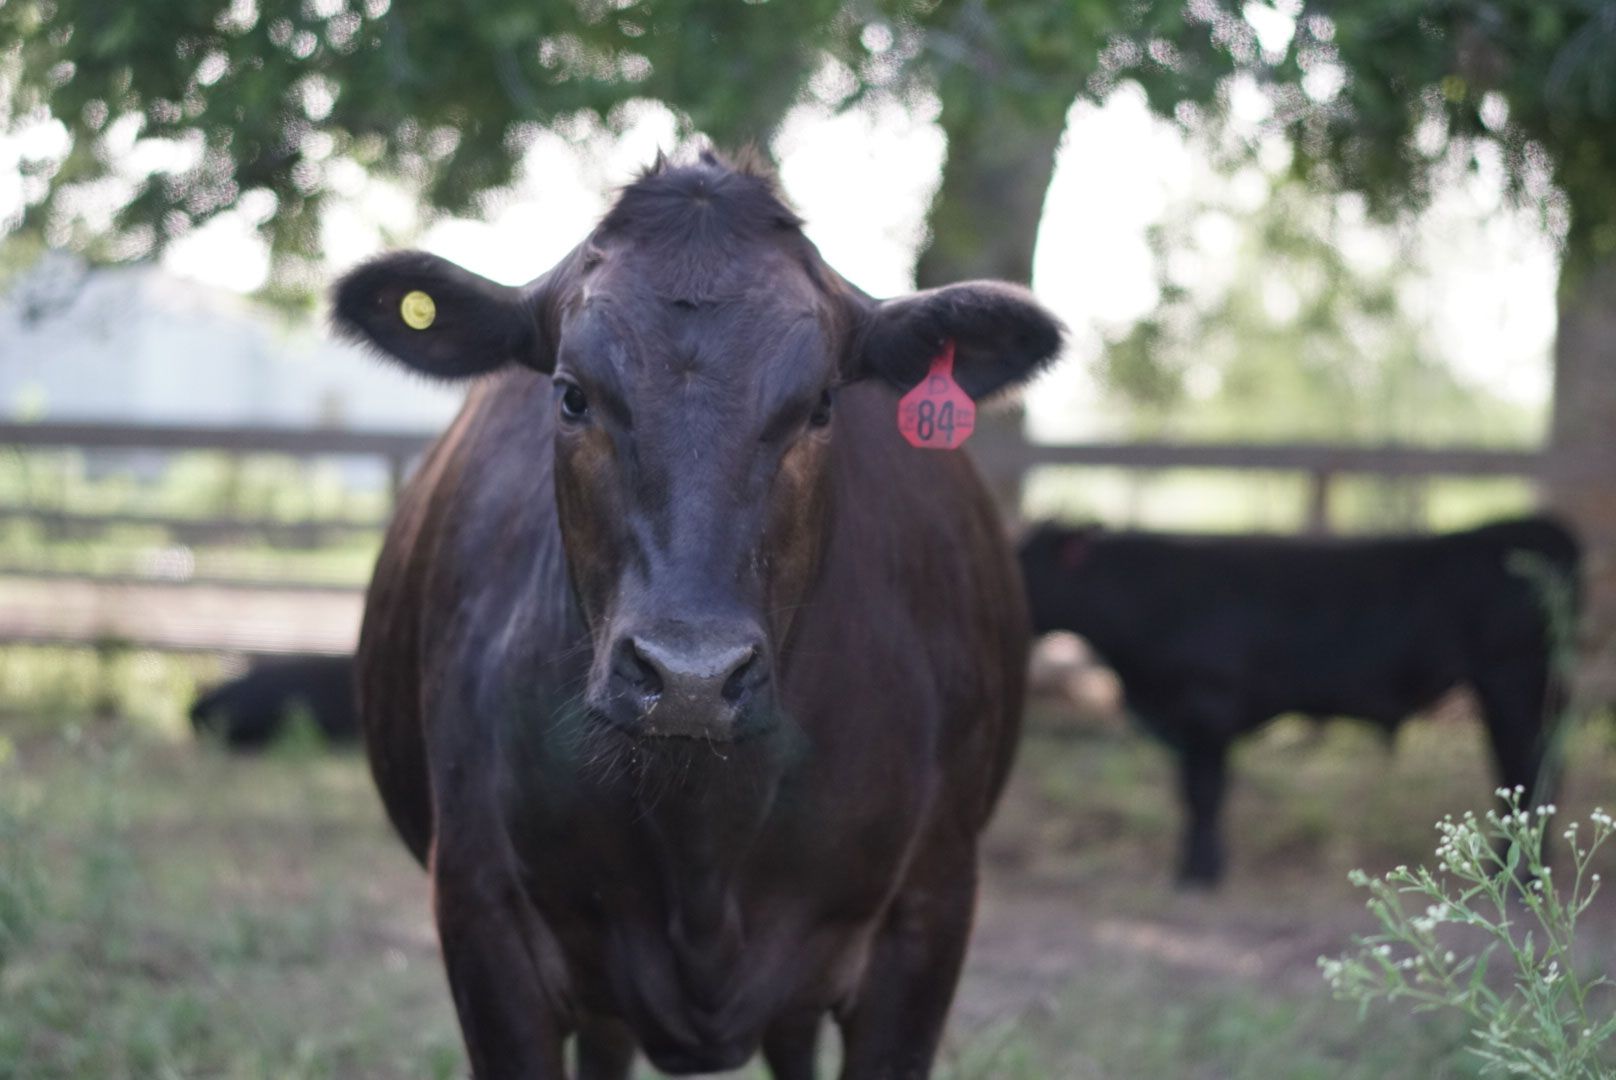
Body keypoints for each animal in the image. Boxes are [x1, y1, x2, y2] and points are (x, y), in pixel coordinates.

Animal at [331, 151, 1060, 1080]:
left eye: (823, 404)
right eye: (571, 395)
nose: (690, 678)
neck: (705, 840)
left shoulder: (928, 917)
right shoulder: (480, 912)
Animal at [1021, 517, 1577, 885]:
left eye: (1021, 563)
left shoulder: (1207, 706)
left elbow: (1203, 794)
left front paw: (1200, 874)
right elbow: (1193, 794)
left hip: (1513, 679)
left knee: (1526, 769)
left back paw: (1519, 877)